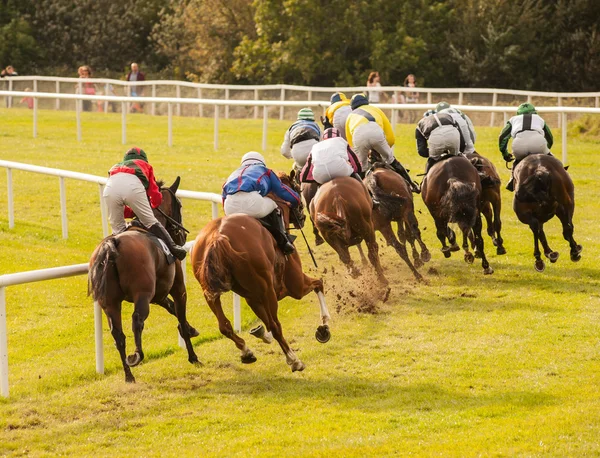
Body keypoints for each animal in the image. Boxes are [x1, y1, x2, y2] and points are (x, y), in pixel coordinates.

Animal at [88, 178, 199, 382]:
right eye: (180, 205)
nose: (183, 236)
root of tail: (112, 244)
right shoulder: (177, 287)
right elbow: (179, 313)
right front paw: (193, 355)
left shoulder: (158, 295)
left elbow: (172, 308)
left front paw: (191, 329)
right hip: (142, 294)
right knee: (137, 320)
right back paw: (137, 356)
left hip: (109, 302)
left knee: (118, 335)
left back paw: (128, 375)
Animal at [192, 172, 330, 372]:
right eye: (297, 188)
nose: (303, 216)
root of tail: (218, 237)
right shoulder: (293, 285)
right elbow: (319, 283)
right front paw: (324, 327)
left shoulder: (253, 296)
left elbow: (264, 323)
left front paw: (260, 332)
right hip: (266, 288)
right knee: (275, 324)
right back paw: (293, 359)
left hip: (210, 292)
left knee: (224, 326)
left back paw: (246, 352)